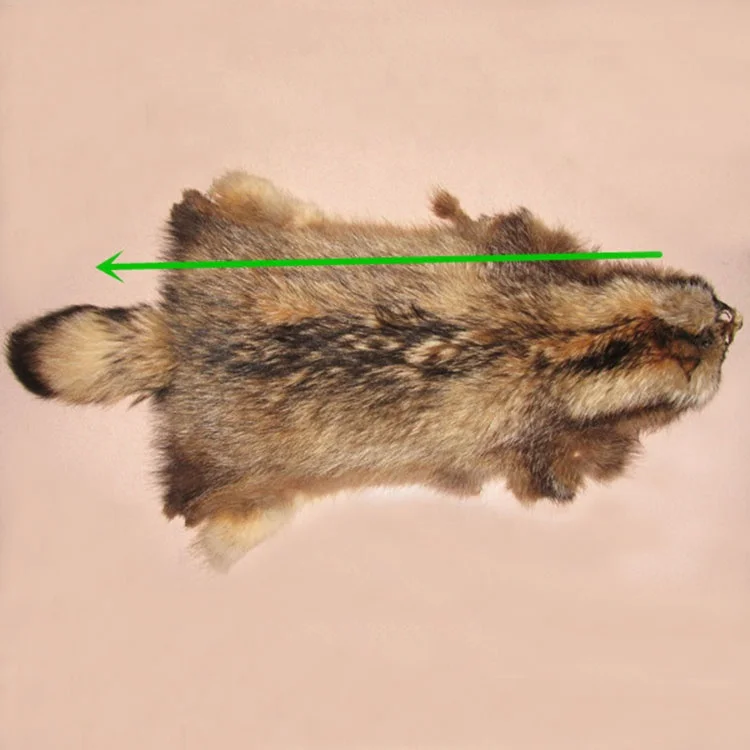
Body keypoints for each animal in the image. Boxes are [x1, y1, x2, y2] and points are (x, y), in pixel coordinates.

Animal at [5, 170, 743, 571]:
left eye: (710, 316)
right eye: (713, 338)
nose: (733, 320)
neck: (571, 344)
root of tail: (175, 342)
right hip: (238, 478)